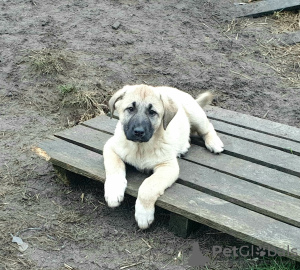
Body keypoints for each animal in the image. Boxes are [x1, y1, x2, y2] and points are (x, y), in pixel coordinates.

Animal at [103, 84, 223, 228]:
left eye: (152, 112)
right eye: (130, 109)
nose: (138, 132)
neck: (140, 148)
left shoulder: (168, 166)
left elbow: (148, 185)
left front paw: (143, 214)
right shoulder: (110, 148)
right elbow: (115, 170)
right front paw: (113, 192)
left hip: (196, 116)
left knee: (208, 127)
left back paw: (214, 143)